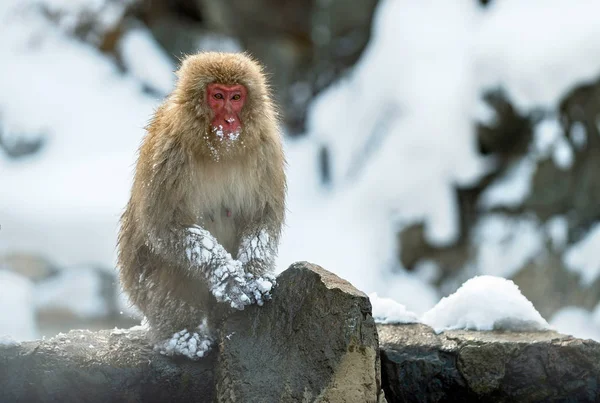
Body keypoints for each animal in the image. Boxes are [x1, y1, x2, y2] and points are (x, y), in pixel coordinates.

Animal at [118, 52, 288, 360]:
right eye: (217, 96)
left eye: (236, 97)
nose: (230, 120)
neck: (220, 150)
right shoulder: (168, 153)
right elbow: (166, 226)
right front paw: (229, 279)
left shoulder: (266, 148)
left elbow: (262, 216)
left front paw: (255, 275)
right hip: (139, 286)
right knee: (167, 264)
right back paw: (179, 338)